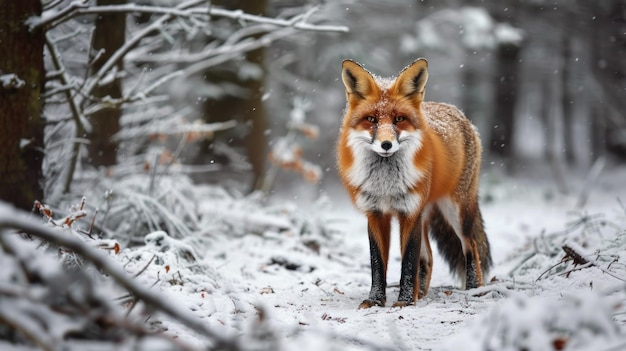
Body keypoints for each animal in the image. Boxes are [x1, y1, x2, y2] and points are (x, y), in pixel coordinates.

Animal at [334, 58, 490, 308]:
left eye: (399, 119)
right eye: (371, 120)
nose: (386, 144)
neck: (386, 186)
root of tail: (458, 112)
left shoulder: (409, 213)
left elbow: (408, 261)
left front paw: (405, 302)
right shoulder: (376, 214)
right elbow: (377, 264)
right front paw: (376, 300)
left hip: (455, 211)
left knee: (471, 246)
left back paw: (474, 289)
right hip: (427, 214)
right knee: (428, 257)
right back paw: (422, 294)